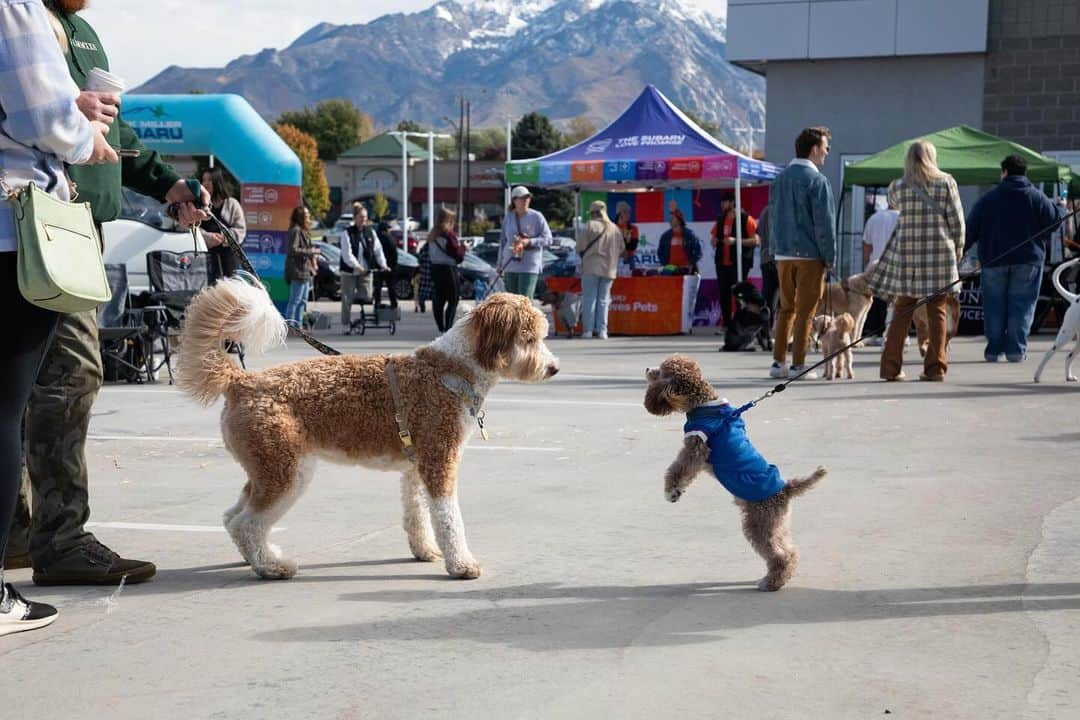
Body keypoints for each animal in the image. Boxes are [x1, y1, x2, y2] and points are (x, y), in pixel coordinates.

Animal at [176, 280, 557, 578]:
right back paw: (272, 567)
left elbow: (418, 513)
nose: (553, 368)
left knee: (233, 518)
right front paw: (461, 564)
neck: (451, 369)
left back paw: (256, 559)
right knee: (248, 522)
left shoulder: (416, 468)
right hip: (286, 472)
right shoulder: (440, 461)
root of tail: (241, 381)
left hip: (268, 467)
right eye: (529, 338)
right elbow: (449, 519)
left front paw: (424, 551)